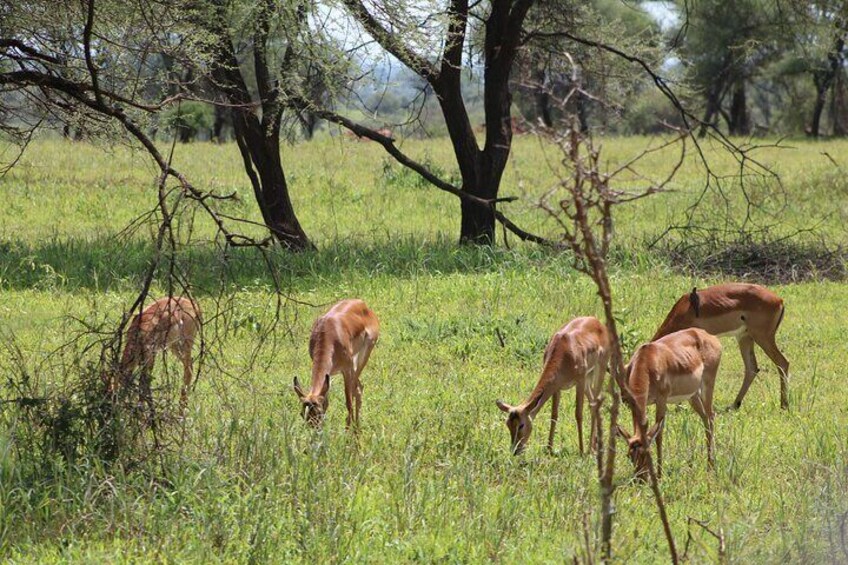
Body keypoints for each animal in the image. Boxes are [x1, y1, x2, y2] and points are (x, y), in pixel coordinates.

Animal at [293, 299, 380, 429]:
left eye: (318, 412)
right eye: (302, 414)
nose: (314, 430)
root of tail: (362, 304)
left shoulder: (346, 370)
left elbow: (348, 402)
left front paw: (347, 430)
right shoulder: (328, 375)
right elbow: (327, 401)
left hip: (362, 357)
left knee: (357, 389)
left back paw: (356, 428)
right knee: (358, 387)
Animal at [496, 316, 610, 456]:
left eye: (521, 425)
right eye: (507, 423)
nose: (515, 450)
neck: (565, 350)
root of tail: (596, 321)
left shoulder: (580, 381)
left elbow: (578, 414)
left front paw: (581, 450)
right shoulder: (557, 387)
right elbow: (554, 415)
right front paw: (549, 448)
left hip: (599, 371)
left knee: (595, 404)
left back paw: (590, 449)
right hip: (589, 378)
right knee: (593, 403)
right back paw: (593, 446)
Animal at [617, 328, 722, 479]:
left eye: (646, 453)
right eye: (629, 455)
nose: (639, 479)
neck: (647, 360)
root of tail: (706, 334)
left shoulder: (661, 400)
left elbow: (659, 435)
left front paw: (660, 474)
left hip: (708, 385)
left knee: (711, 415)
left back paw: (710, 465)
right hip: (693, 396)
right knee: (705, 418)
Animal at [652, 283, 789, 410]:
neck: (685, 310)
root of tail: (779, 300)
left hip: (762, 338)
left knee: (782, 363)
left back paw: (784, 405)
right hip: (744, 337)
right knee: (752, 368)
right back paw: (734, 405)